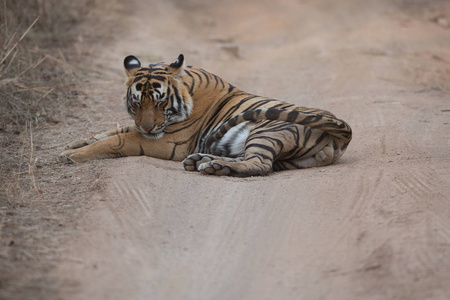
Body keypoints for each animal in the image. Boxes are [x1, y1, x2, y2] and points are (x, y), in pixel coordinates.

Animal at [59, 54, 354, 177]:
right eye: (136, 103)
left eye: (160, 102)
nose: (148, 127)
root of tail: (341, 130)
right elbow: (115, 130)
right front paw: (73, 144)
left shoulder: (168, 142)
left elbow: (118, 140)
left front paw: (73, 155)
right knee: (257, 160)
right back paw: (205, 161)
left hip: (270, 128)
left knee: (260, 164)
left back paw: (213, 167)